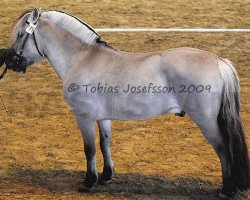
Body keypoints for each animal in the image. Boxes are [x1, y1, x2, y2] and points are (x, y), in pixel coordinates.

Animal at [4, 8, 249, 198]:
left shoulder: (83, 116)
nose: (10, 61)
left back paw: (227, 189)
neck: (83, 58)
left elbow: (89, 148)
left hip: (206, 120)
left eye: (20, 34)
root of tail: (219, 61)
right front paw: (106, 176)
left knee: (223, 148)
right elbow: (105, 144)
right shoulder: (103, 117)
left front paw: (89, 182)